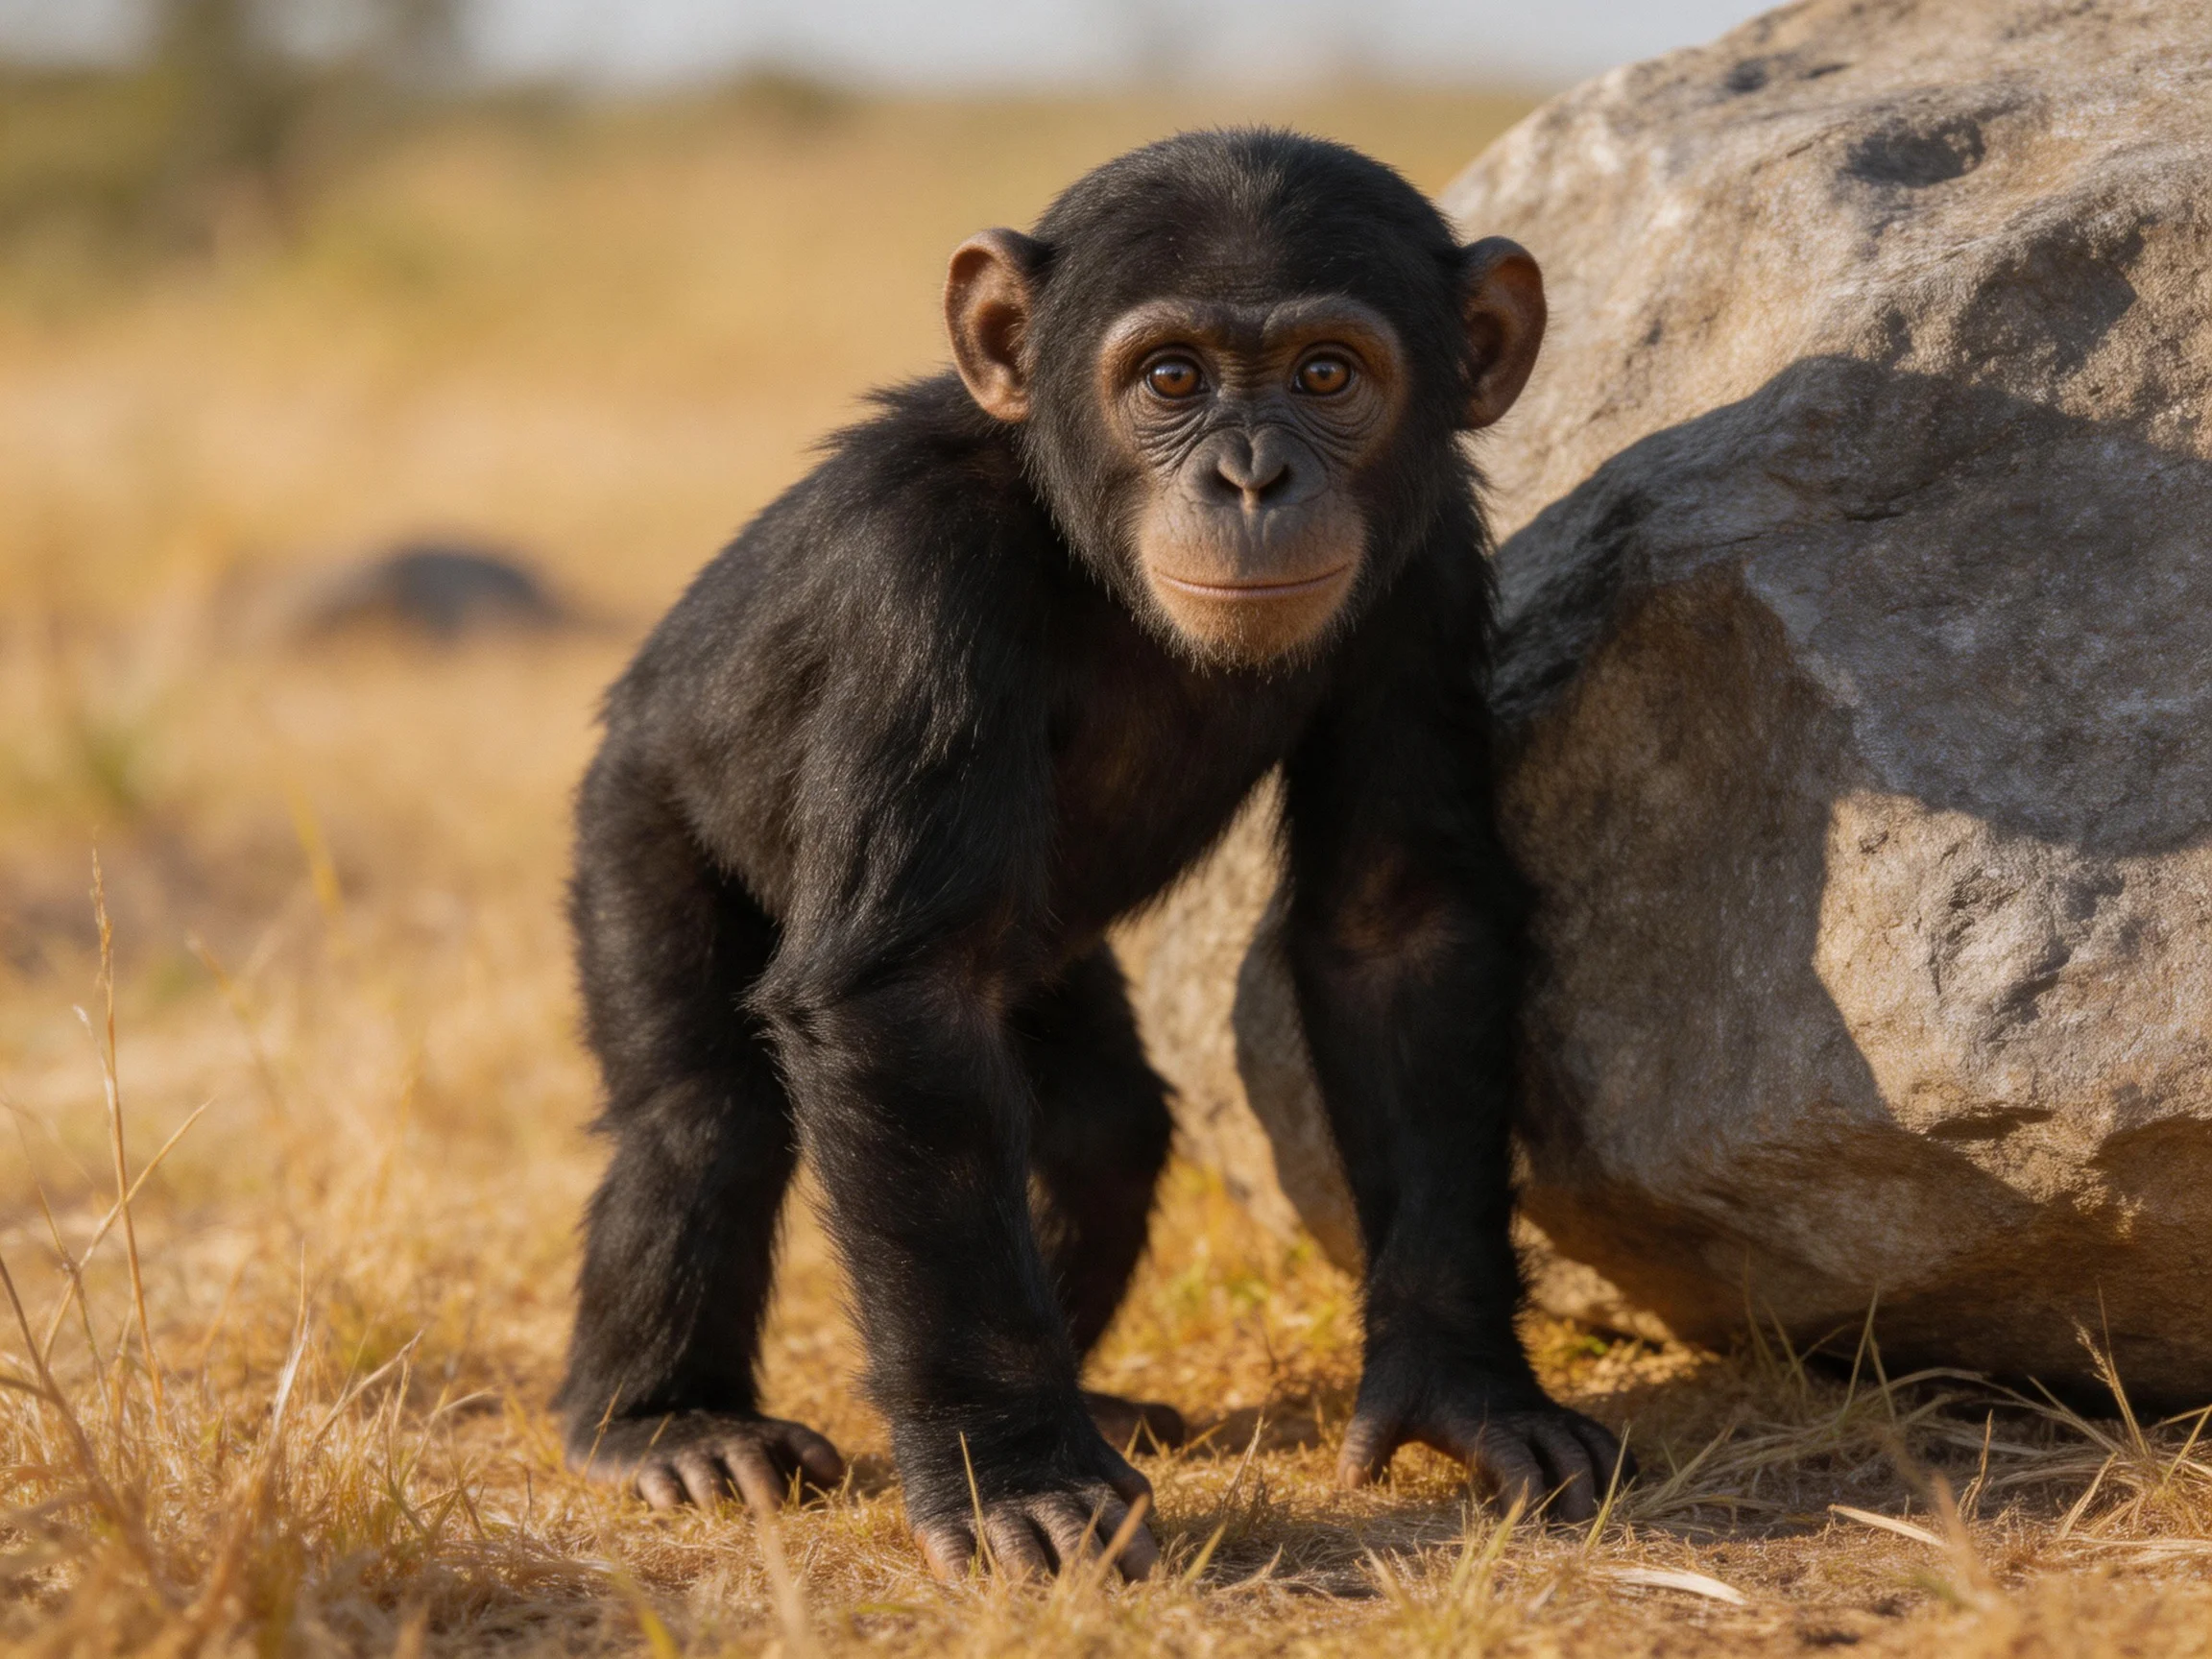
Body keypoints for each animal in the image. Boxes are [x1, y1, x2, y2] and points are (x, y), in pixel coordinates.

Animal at [556, 127, 1625, 1581]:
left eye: (1326, 375)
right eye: (1171, 377)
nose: (1250, 474)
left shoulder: (1431, 568)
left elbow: (1394, 926)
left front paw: (1466, 1386)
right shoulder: (915, 579)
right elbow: (902, 1000)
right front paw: (1011, 1473)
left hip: (1052, 972)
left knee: (1106, 1129)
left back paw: (1091, 1387)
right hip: (637, 812)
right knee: (699, 1119)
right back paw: (665, 1425)